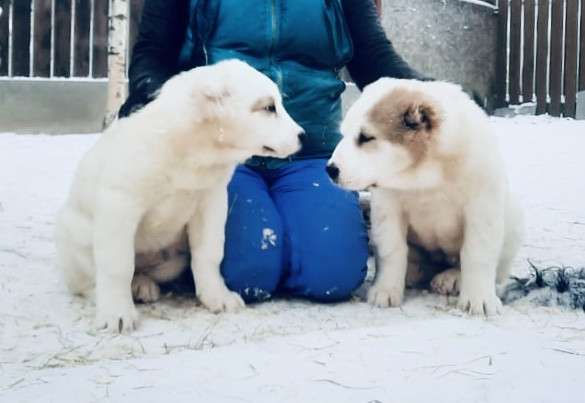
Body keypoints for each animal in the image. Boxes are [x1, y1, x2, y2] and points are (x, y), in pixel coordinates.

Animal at [56, 59, 304, 332]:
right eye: (268, 107)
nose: (303, 136)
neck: (192, 152)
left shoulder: (211, 201)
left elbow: (209, 253)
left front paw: (217, 296)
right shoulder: (120, 202)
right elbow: (117, 265)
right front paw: (116, 314)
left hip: (173, 261)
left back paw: (142, 285)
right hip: (75, 236)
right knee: (87, 280)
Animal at [326, 79, 524, 318]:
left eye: (366, 137)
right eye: (343, 134)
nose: (330, 169)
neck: (426, 175)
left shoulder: (481, 204)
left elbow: (477, 253)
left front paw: (479, 299)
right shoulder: (387, 206)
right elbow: (392, 249)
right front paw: (385, 290)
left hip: (513, 219)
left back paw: (452, 278)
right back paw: (414, 271)